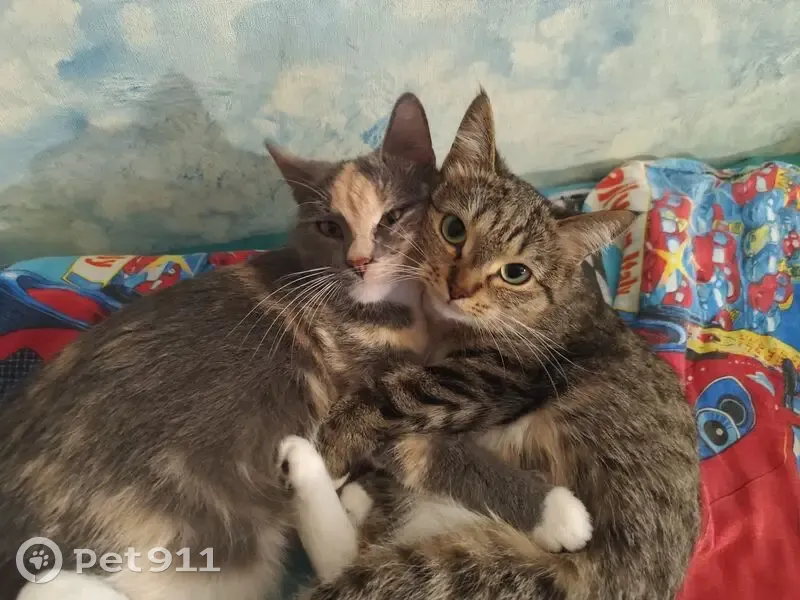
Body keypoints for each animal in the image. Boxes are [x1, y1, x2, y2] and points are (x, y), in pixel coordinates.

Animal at [284, 90, 700, 600]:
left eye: (515, 272)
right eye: (454, 229)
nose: (458, 288)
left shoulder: (503, 373)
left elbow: (400, 391)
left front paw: (337, 438)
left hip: (464, 570)